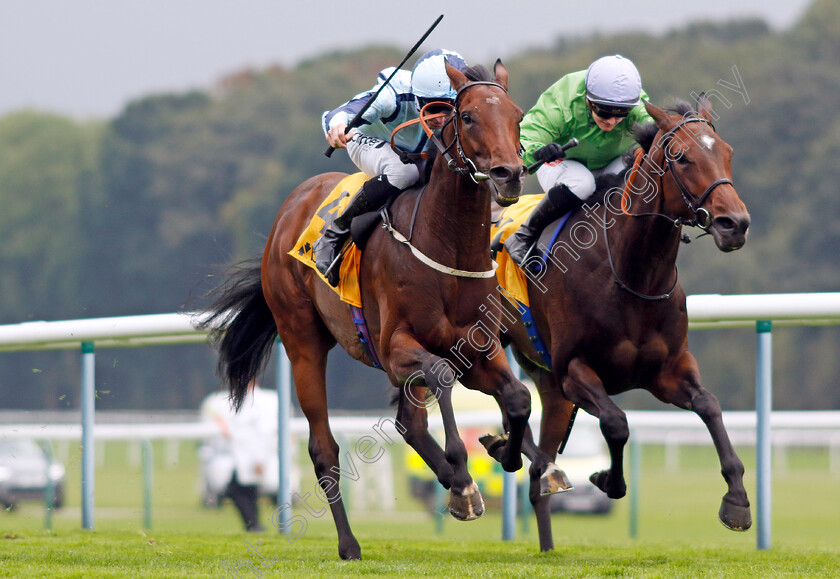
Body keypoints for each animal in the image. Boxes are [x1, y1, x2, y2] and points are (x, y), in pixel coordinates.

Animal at [201, 61, 540, 560]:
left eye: (517, 115)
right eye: (469, 116)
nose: (509, 174)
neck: (447, 247)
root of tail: (291, 207)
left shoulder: (477, 348)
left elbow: (517, 398)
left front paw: (502, 453)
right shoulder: (397, 346)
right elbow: (441, 375)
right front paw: (462, 474)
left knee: (408, 423)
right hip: (302, 342)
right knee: (324, 449)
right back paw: (351, 543)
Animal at [496, 96, 752, 552]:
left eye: (727, 152)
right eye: (681, 157)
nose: (734, 224)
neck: (630, 273)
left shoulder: (666, 372)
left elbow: (709, 405)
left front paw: (736, 500)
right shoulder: (574, 370)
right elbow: (616, 424)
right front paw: (606, 479)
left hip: (547, 381)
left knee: (535, 465)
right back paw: (503, 450)